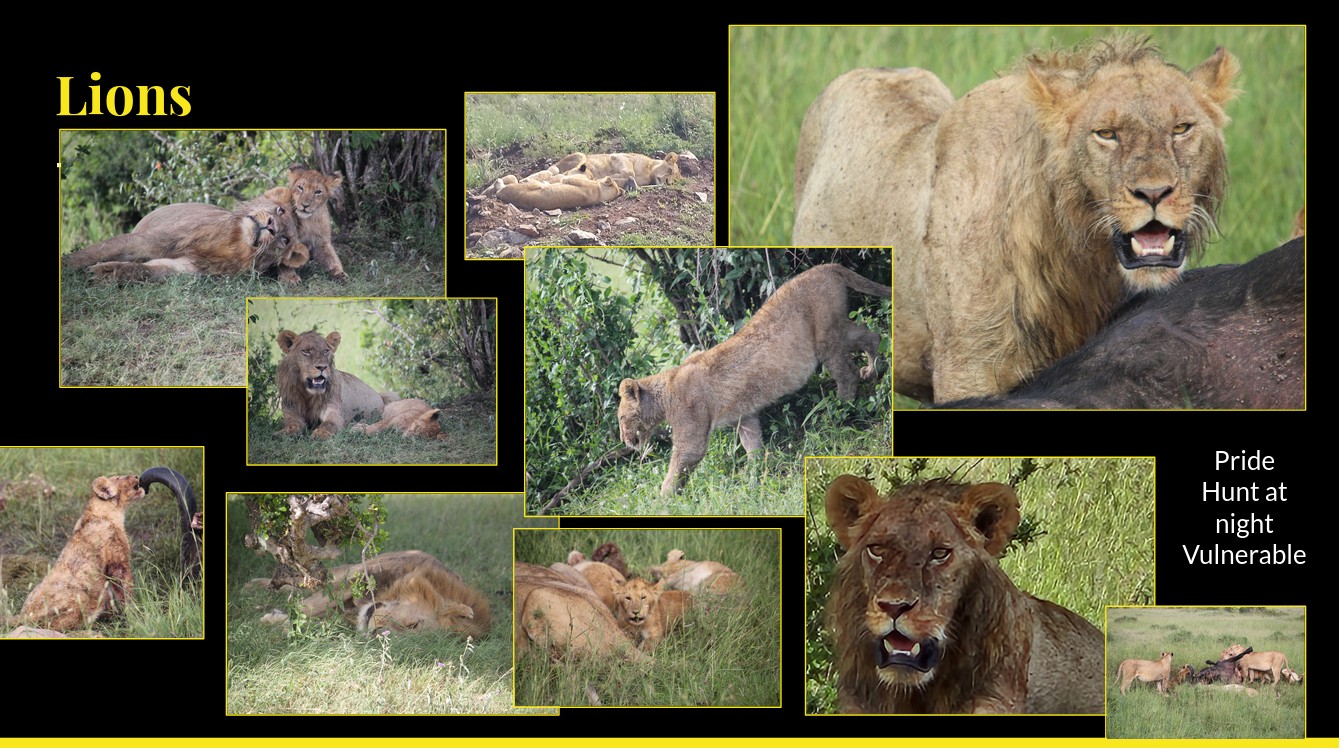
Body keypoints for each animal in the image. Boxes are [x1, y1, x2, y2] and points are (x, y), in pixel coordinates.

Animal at [16, 475, 146, 631]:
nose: (136, 476)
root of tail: (23, 617)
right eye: (119, 477)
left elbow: (113, 597)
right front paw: (134, 614)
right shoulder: (118, 563)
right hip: (82, 598)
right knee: (58, 626)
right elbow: (126, 593)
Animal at [65, 196, 307, 283]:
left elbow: (142, 270)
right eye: (280, 211)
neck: (232, 244)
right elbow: (92, 252)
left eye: (285, 240)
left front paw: (105, 272)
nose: (272, 226)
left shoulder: (186, 268)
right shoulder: (148, 240)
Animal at [255, 550, 489, 637]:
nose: (376, 630)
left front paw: (282, 624)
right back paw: (258, 584)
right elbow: (311, 605)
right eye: (413, 624)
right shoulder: (359, 575)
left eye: (407, 631)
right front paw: (269, 621)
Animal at [618, 263, 890, 495]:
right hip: (839, 328)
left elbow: (679, 464)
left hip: (826, 337)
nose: (625, 441)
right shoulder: (744, 415)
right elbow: (752, 444)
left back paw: (840, 409)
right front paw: (754, 474)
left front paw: (662, 499)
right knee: (871, 335)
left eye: (621, 417)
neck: (665, 391)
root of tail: (828, 267)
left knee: (847, 372)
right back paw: (873, 369)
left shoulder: (692, 429)